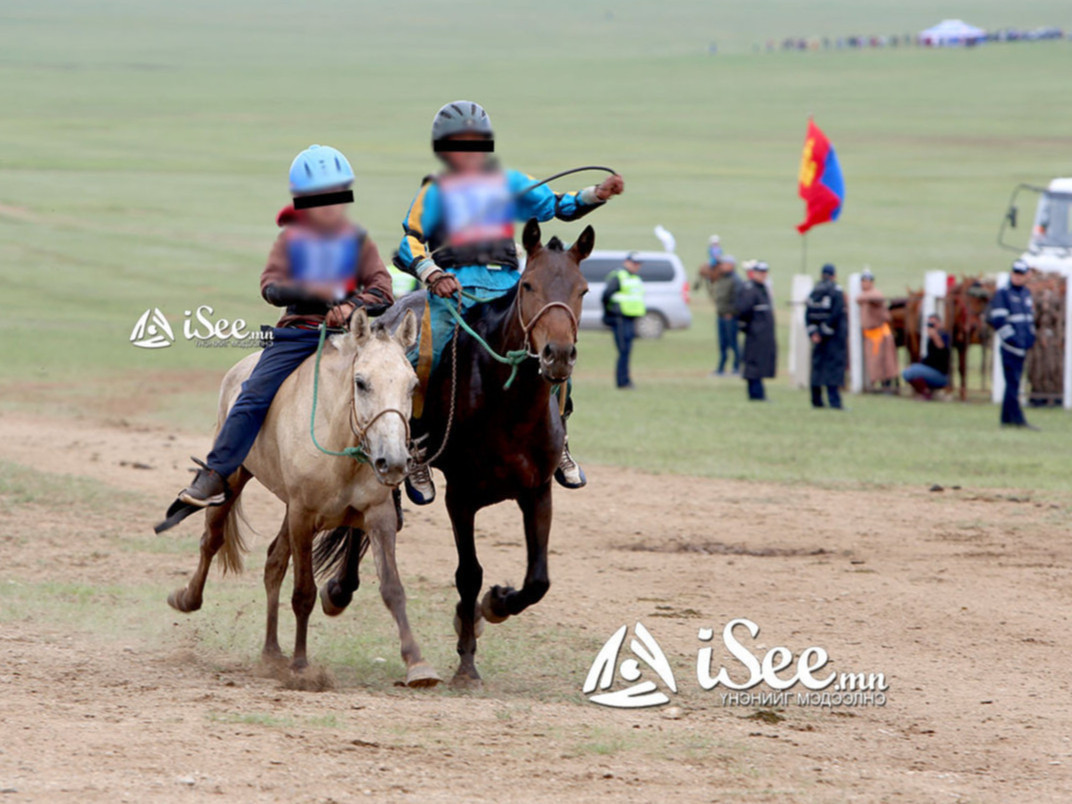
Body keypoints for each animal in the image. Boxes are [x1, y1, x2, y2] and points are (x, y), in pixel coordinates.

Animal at [165, 308, 437, 686]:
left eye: (412, 385)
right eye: (361, 382)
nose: (394, 461)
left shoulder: (376, 514)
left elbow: (392, 588)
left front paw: (417, 663)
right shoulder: (303, 516)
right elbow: (304, 592)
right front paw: (301, 666)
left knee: (273, 563)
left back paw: (271, 652)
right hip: (235, 479)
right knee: (212, 539)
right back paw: (187, 598)